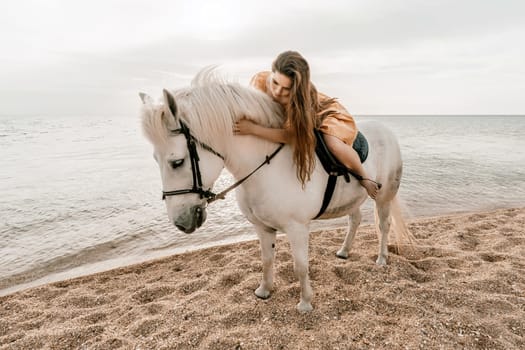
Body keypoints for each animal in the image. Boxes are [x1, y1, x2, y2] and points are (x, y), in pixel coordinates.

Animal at [139, 68, 410, 312]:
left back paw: (382, 258)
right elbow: (267, 260)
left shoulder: (297, 228)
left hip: (384, 197)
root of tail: (386, 130)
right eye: (155, 159)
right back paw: (344, 251)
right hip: (352, 199)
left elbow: (300, 266)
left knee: (383, 225)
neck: (265, 165)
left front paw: (305, 303)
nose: (181, 222)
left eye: (177, 162)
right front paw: (264, 291)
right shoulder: (262, 227)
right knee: (355, 219)